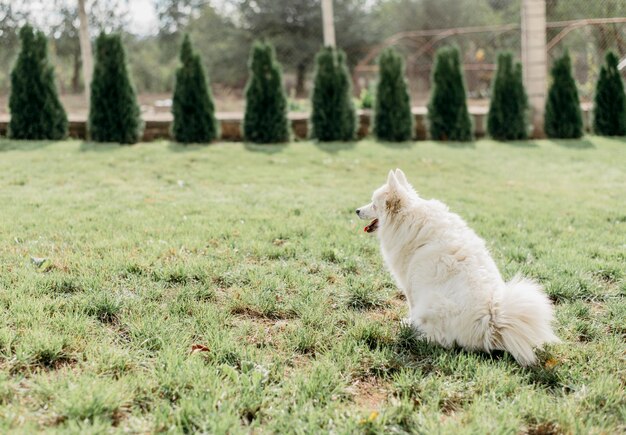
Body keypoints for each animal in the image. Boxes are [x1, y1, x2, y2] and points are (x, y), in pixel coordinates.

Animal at [356, 169, 556, 366]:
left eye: (373, 205)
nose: (356, 210)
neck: (408, 218)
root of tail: (491, 322)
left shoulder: (410, 285)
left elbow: (411, 307)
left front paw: (408, 321)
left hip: (432, 303)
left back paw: (414, 330)